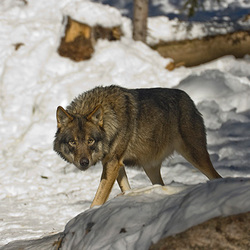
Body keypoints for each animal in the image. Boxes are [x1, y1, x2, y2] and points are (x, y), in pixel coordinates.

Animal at [53, 85, 222, 207]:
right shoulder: (115, 164)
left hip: (196, 156)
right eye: (72, 142)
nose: (84, 162)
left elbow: (97, 200)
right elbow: (126, 188)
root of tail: (187, 97)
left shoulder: (112, 164)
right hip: (151, 168)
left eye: (90, 141)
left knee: (217, 176)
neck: (110, 119)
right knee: (160, 185)